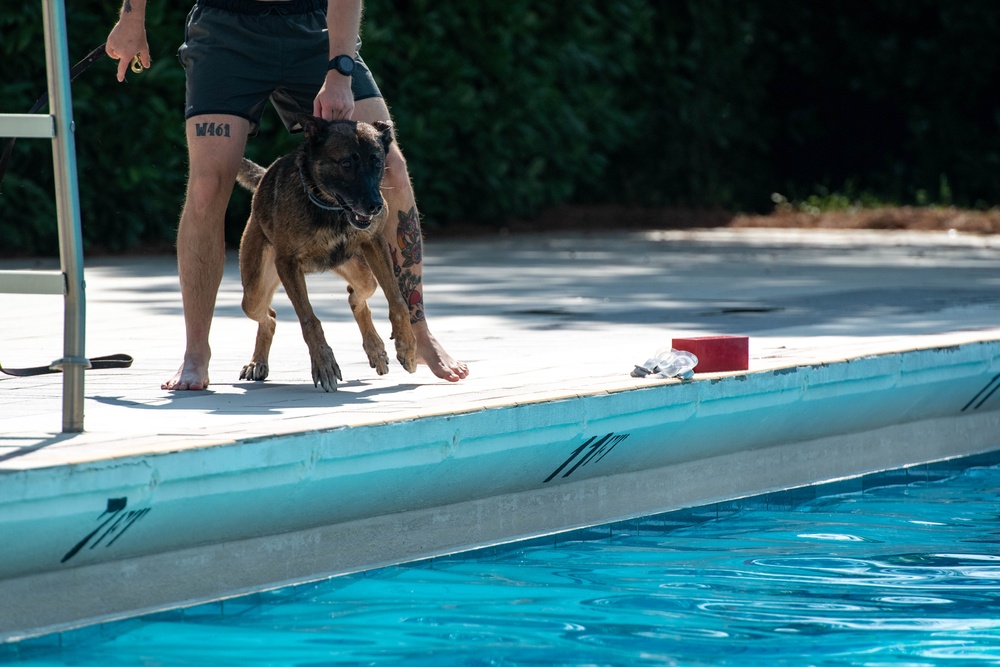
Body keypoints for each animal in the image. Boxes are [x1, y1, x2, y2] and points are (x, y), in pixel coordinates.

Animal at [236, 115, 416, 392]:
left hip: (363, 272)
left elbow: (397, 301)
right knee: (270, 316)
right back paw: (258, 362)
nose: (375, 205)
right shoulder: (287, 265)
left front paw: (406, 346)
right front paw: (323, 362)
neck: (329, 207)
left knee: (355, 297)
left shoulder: (375, 242)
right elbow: (310, 319)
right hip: (253, 293)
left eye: (376, 162)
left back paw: (375, 348)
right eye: (346, 164)